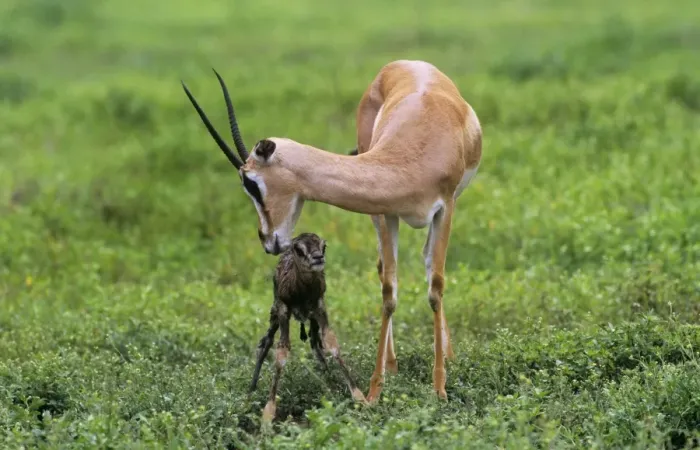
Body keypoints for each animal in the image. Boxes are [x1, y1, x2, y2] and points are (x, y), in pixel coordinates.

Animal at [181, 59, 483, 402]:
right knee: (387, 268)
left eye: (250, 182)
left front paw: (440, 388)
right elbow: (389, 291)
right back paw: (393, 364)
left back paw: (448, 356)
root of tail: (402, 64)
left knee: (430, 264)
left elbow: (435, 285)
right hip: (377, 214)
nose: (267, 240)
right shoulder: (388, 211)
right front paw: (376, 390)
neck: (412, 155)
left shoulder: (446, 207)